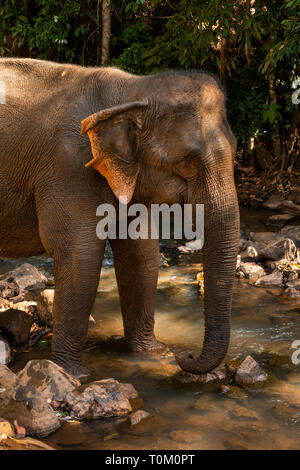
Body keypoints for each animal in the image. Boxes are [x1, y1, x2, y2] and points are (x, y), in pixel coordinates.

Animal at [0, 58, 239, 380]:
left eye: (237, 149)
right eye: (187, 161)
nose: (184, 355)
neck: (131, 90)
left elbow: (142, 252)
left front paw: (153, 353)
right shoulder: (69, 168)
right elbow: (80, 254)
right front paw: (74, 375)